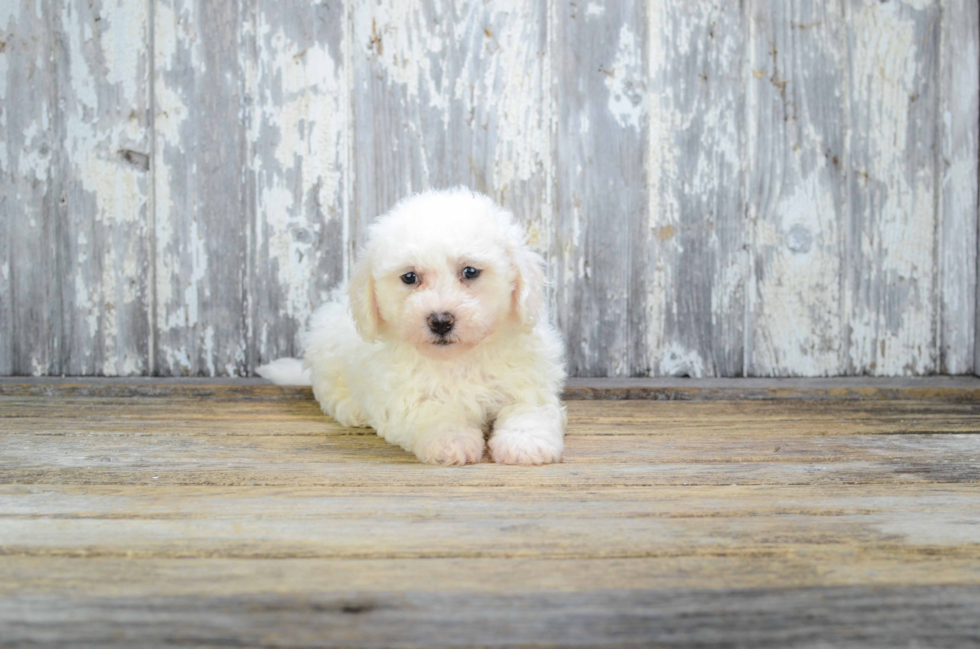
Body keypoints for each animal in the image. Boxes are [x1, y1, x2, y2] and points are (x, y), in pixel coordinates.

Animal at [256, 187, 572, 466]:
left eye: (470, 272)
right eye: (409, 277)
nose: (440, 320)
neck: (458, 359)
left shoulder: (529, 382)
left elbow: (529, 410)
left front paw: (525, 443)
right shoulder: (401, 396)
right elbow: (434, 412)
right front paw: (451, 440)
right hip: (327, 355)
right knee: (330, 391)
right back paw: (353, 409)